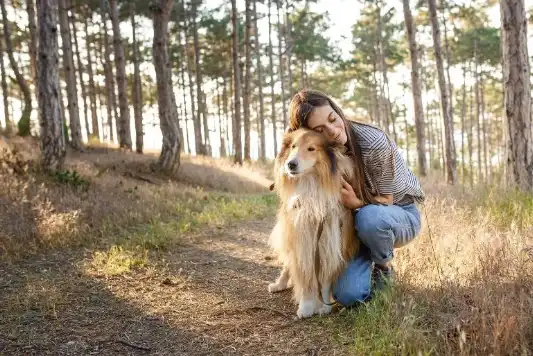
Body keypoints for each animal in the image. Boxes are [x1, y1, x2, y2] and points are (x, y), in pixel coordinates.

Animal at [264, 128, 358, 320]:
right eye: (293, 146)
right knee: (287, 266)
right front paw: (306, 307)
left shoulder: (330, 243)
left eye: (311, 149)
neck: (311, 185)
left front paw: (323, 305)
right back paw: (278, 285)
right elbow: (305, 277)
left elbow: (326, 280)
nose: (290, 165)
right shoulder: (303, 243)